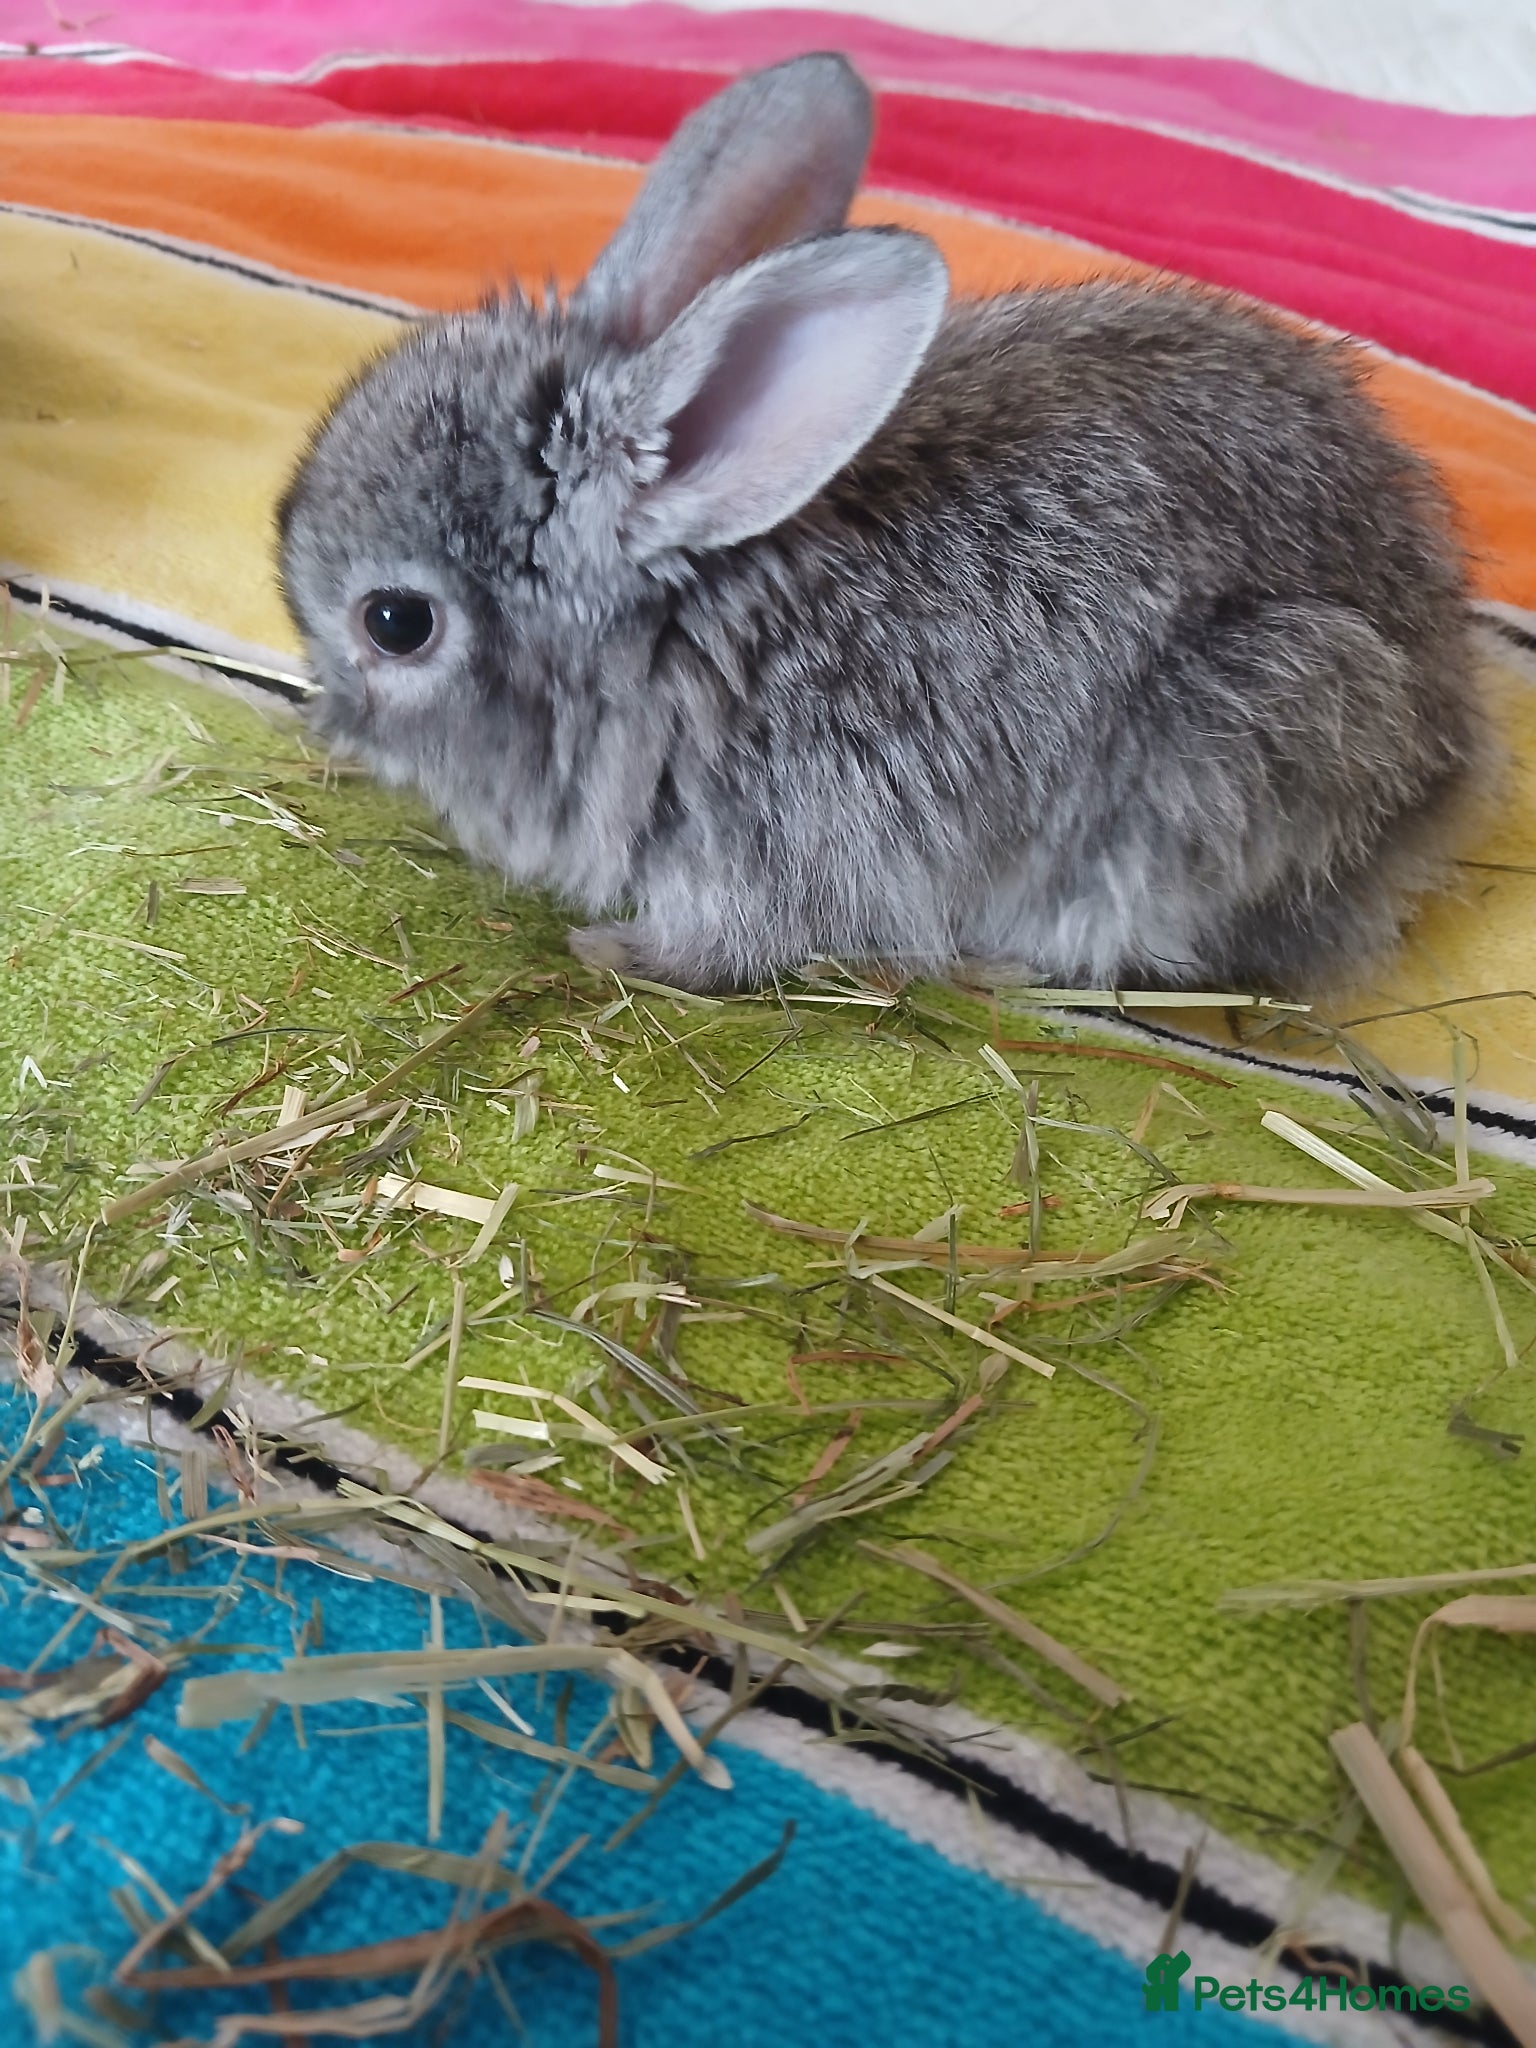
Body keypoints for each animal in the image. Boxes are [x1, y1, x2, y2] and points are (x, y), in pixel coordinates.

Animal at [277, 50, 1498, 998]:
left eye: (395, 623)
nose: (328, 719)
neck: (674, 628)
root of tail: (1447, 760)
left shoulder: (772, 849)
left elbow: (727, 942)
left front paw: (613, 950)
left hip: (1246, 741)